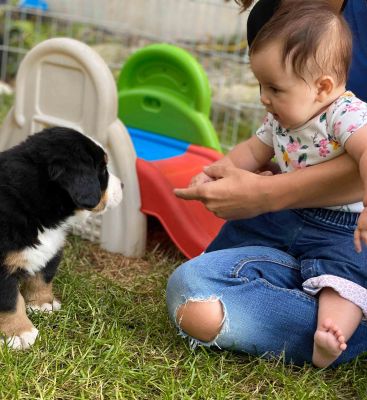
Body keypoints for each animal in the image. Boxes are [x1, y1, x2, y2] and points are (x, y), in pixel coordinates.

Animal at [0, 126, 123, 348]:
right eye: (102, 170)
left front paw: (42, 304)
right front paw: (19, 333)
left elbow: (42, 277)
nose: (123, 185)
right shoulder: (3, 270)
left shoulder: (51, 249)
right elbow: (9, 301)